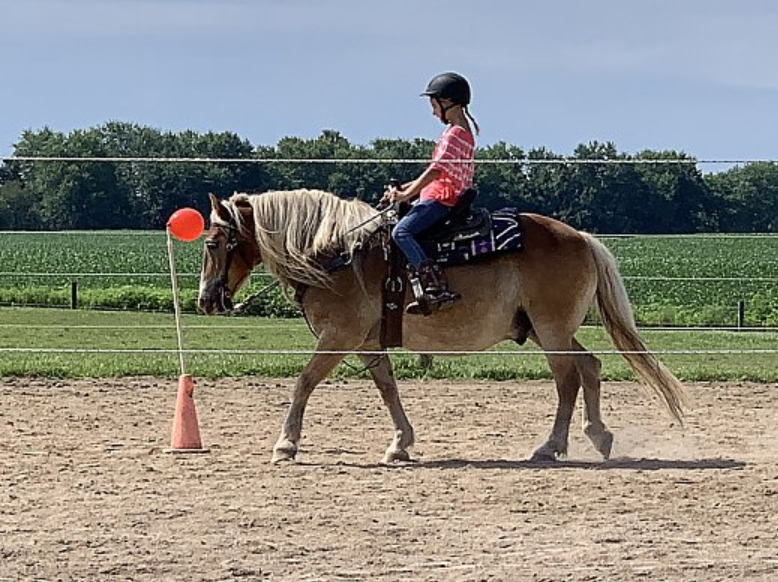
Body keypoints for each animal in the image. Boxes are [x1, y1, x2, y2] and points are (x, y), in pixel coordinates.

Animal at [197, 189, 687, 464]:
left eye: (213, 242)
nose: (205, 300)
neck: (336, 254)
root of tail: (581, 238)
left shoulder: (339, 336)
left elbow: (303, 382)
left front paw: (285, 444)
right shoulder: (367, 342)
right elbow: (387, 387)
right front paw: (400, 444)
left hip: (552, 331)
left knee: (568, 380)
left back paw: (551, 447)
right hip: (552, 330)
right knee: (590, 368)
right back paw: (598, 436)